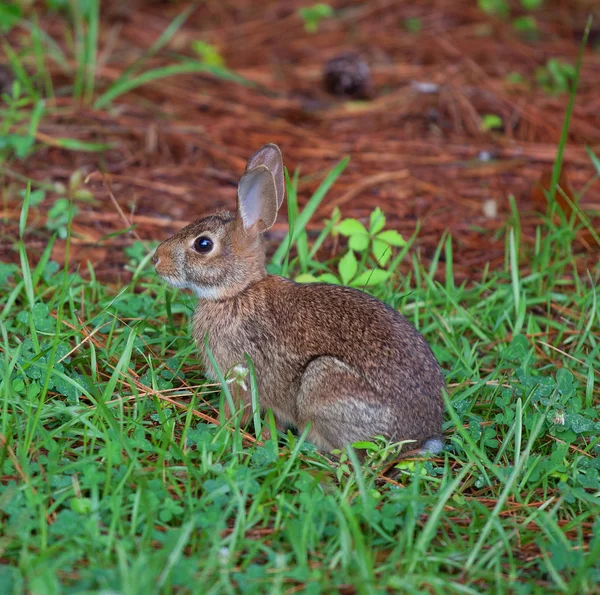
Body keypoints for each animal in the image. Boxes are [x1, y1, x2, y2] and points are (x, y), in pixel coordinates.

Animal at [154, 143, 446, 456]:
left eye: (203, 244)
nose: (156, 259)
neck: (238, 293)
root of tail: (420, 438)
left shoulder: (240, 375)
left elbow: (236, 411)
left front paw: (221, 432)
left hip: (322, 381)